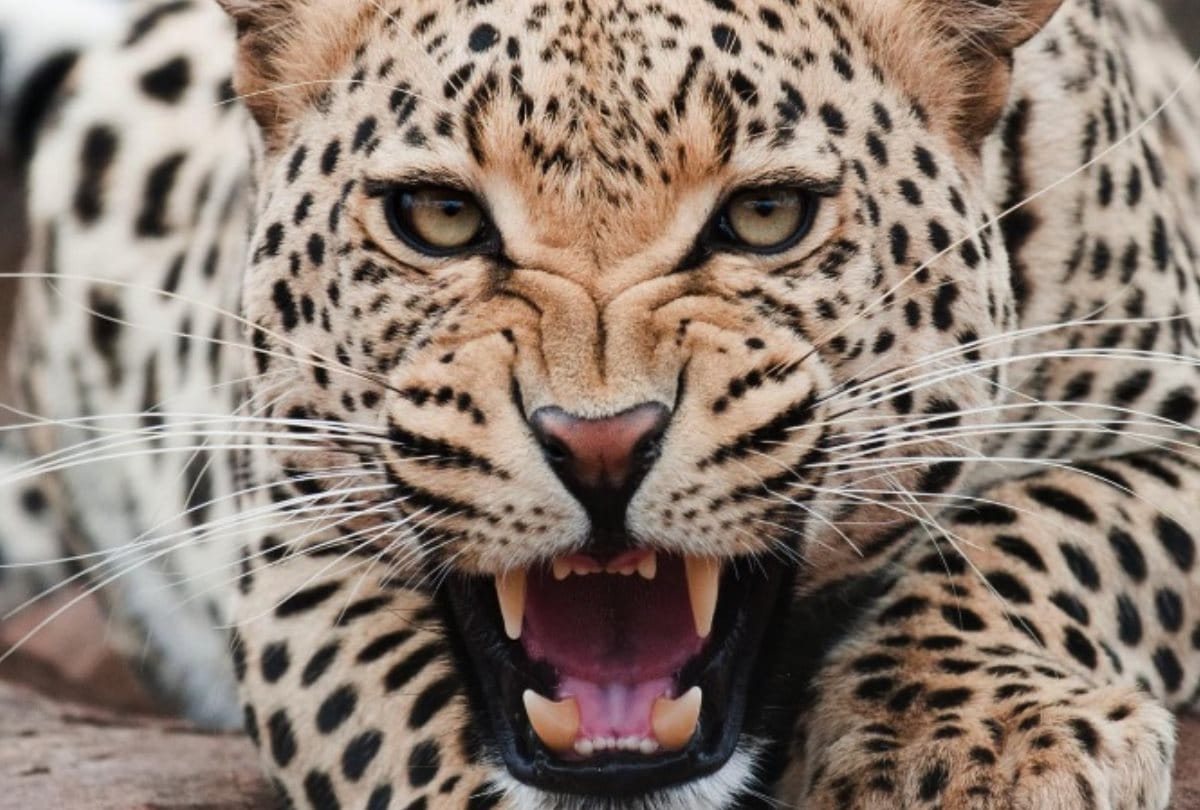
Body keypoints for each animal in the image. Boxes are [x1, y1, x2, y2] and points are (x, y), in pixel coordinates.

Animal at [2, 0, 1200, 807]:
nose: (601, 447)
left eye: (767, 217)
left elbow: (1044, 523)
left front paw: (971, 746)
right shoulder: (295, 534)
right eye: (438, 218)